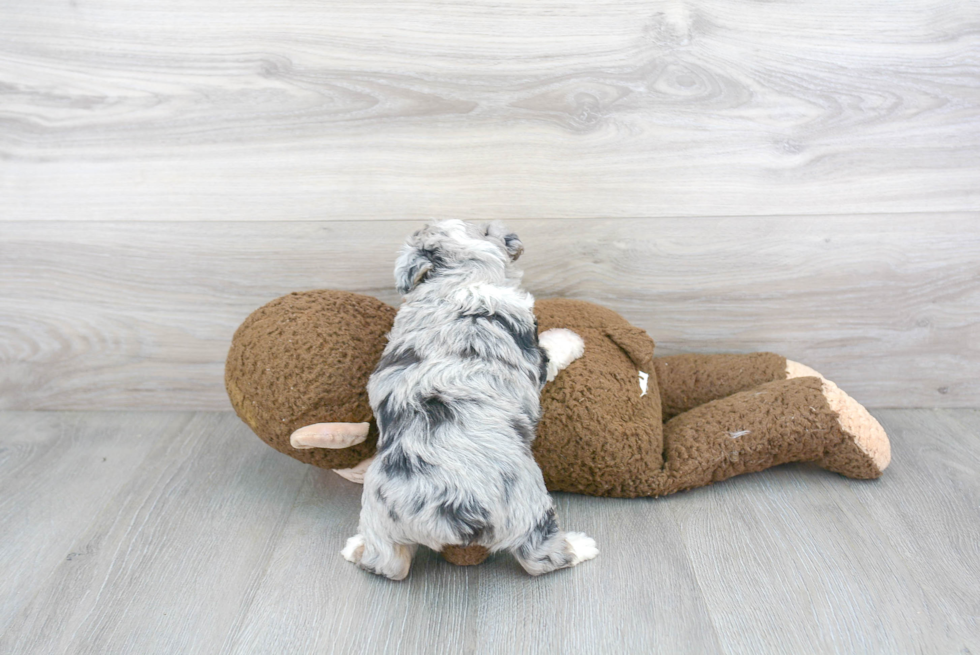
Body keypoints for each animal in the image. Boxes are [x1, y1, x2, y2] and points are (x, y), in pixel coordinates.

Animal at [340, 219, 592, 580]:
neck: (458, 278)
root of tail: (449, 516)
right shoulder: (534, 353)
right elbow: (552, 348)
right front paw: (570, 339)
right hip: (528, 510)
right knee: (541, 559)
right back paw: (582, 546)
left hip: (380, 517)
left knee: (387, 563)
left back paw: (354, 547)